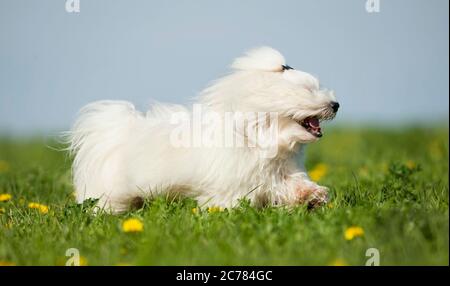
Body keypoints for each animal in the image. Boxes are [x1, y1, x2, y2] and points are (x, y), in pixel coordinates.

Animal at [68, 47, 340, 212]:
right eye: (308, 90)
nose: (336, 104)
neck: (257, 136)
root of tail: (114, 131)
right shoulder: (234, 184)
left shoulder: (280, 172)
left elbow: (294, 185)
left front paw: (314, 195)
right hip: (112, 191)